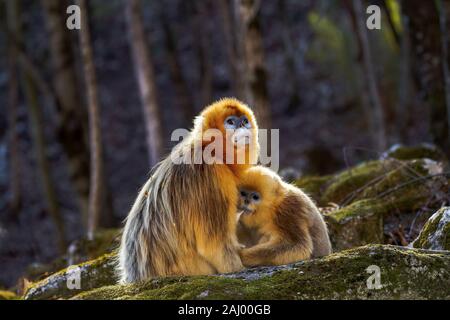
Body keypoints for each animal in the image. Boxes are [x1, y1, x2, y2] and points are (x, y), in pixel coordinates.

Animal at [118, 97, 260, 282]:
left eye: (244, 120)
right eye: (230, 122)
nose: (243, 125)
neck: (210, 149)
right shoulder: (210, 172)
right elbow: (214, 246)